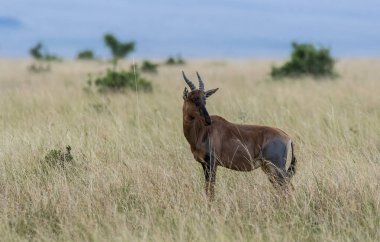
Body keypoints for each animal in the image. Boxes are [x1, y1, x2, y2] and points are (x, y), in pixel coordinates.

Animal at [181, 72, 296, 200]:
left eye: (204, 99)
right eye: (193, 99)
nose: (208, 120)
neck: (202, 131)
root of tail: (287, 137)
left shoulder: (212, 163)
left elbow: (211, 188)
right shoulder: (204, 164)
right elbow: (208, 188)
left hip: (277, 167)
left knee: (287, 188)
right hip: (268, 168)